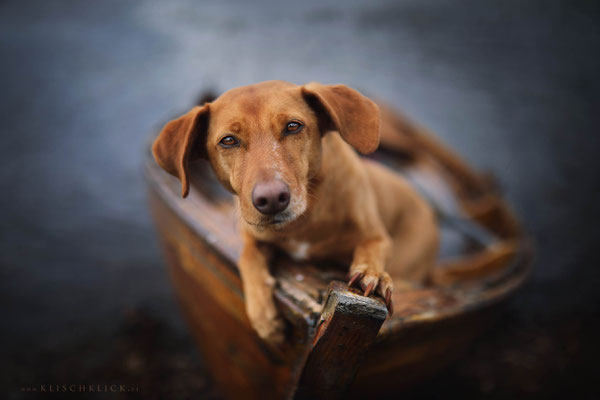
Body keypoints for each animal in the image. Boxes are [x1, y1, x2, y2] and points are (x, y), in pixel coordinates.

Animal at [152, 80, 438, 344]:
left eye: (293, 126)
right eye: (228, 141)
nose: (271, 199)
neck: (303, 223)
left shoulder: (376, 236)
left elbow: (373, 248)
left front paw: (373, 275)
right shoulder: (253, 237)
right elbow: (248, 259)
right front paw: (264, 317)